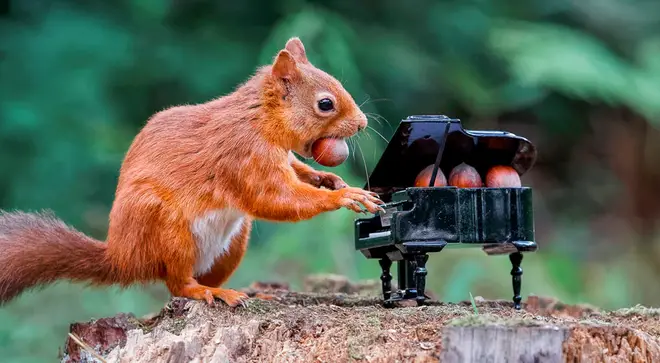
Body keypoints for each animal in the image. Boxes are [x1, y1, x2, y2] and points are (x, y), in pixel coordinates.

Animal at [0, 38, 384, 308]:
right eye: (325, 104)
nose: (363, 124)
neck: (260, 120)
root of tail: (122, 257)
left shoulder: (279, 158)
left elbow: (296, 171)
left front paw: (329, 180)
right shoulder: (244, 156)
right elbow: (274, 199)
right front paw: (344, 195)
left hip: (232, 243)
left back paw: (241, 292)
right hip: (165, 226)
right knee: (178, 285)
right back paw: (211, 294)